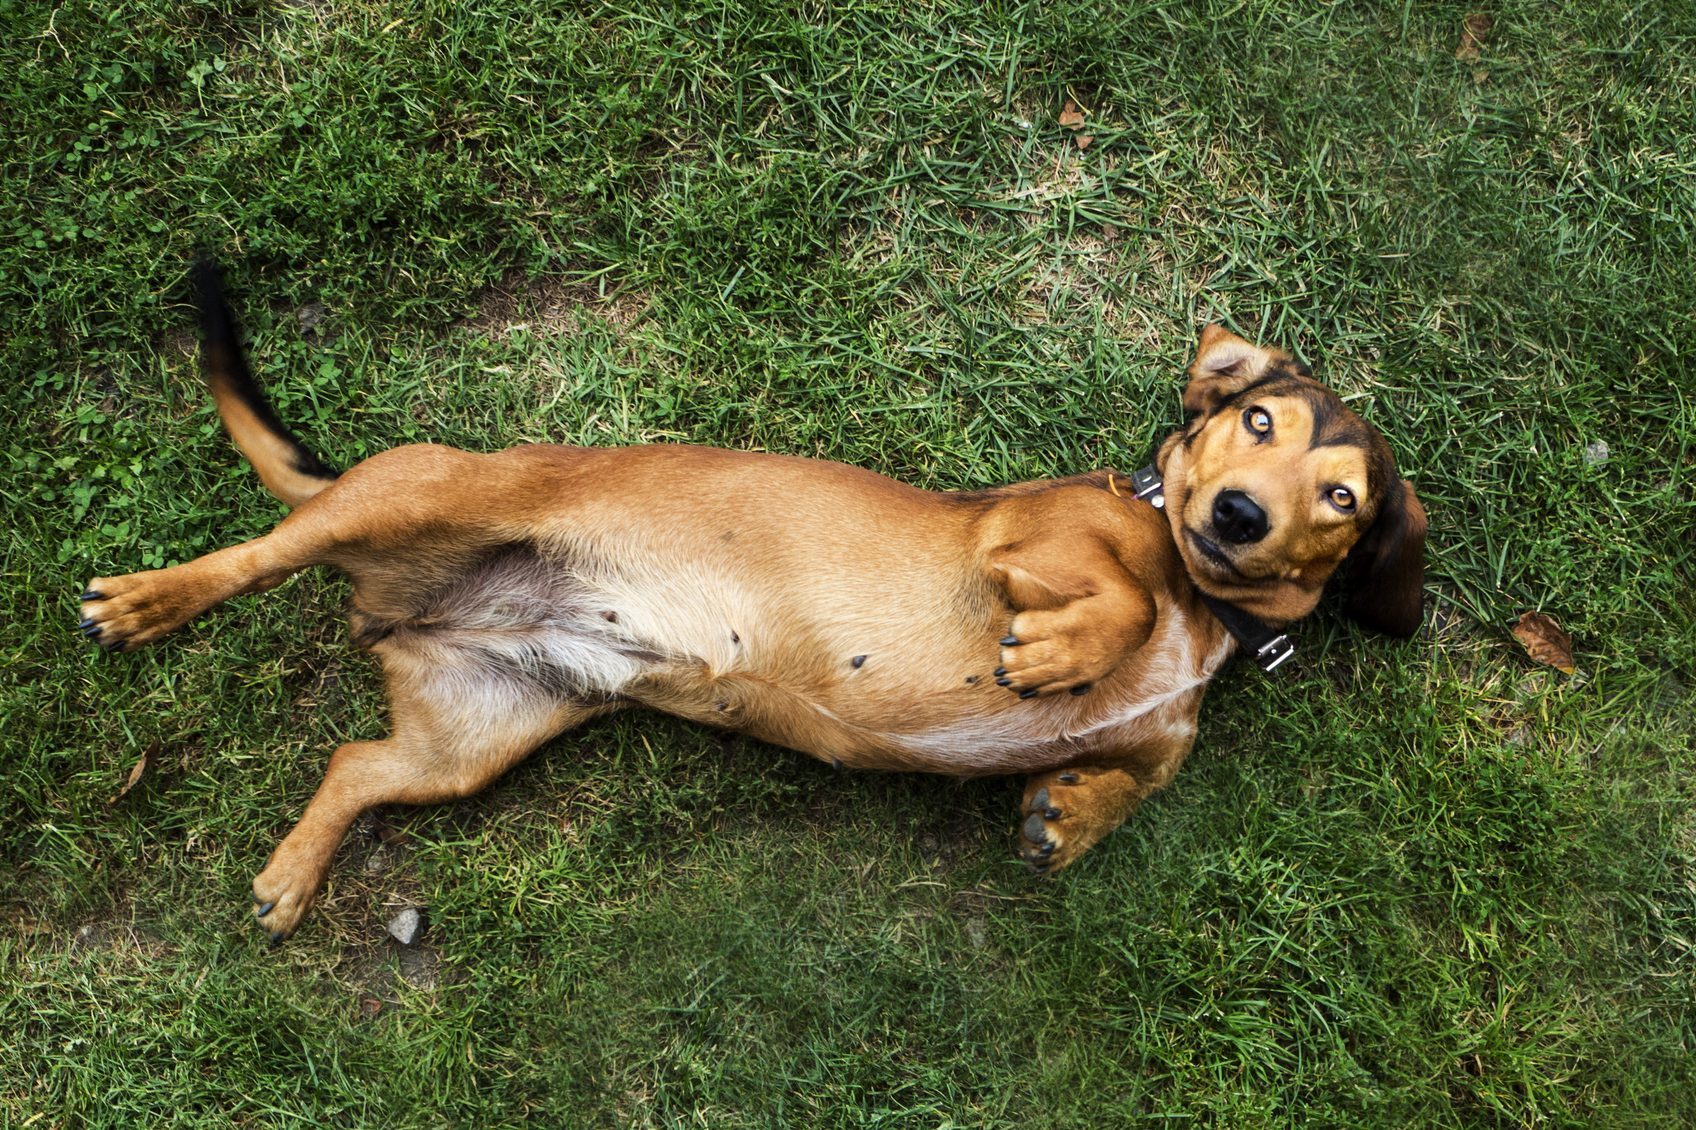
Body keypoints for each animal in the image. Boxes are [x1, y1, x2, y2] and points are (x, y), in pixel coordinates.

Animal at [82, 261, 1431, 929]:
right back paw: (148, 599)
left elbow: (1140, 775)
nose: (1238, 516)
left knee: (355, 762)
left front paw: (1073, 813)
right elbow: (1120, 600)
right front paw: (1061, 655)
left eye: (1340, 495)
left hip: (473, 734)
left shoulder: (1160, 729)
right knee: (259, 550)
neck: (1207, 605)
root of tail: (405, 598)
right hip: (407, 500)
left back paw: (291, 873)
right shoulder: (1029, 546)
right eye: (1255, 422)